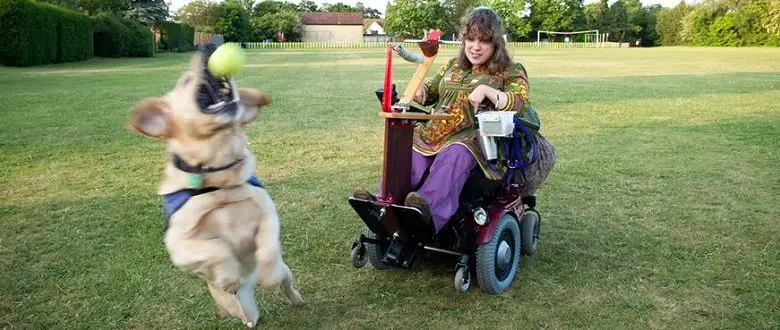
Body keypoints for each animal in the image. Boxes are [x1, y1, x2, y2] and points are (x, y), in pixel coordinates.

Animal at [128, 49, 302, 328]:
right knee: (246, 314)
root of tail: (250, 285)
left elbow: (268, 246)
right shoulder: (178, 248)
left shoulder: (267, 213)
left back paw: (295, 299)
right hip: (236, 304)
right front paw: (227, 275)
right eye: (185, 81)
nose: (207, 48)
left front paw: (268, 272)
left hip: (287, 272)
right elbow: (217, 247)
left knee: (285, 284)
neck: (220, 183)